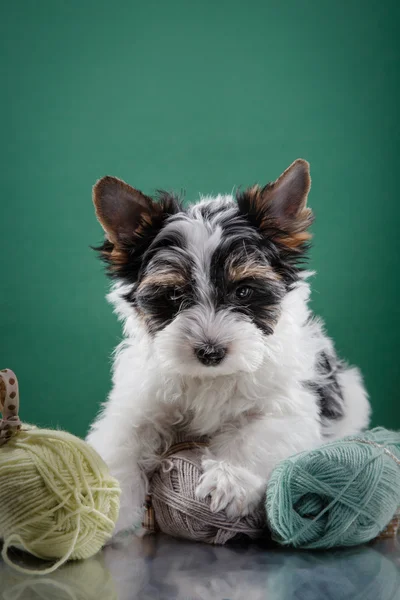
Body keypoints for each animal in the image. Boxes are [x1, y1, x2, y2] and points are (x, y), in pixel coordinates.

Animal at [86, 158, 370, 536]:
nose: (210, 352)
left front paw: (227, 480)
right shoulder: (140, 401)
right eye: (174, 295)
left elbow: (258, 433)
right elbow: (122, 438)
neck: (212, 378)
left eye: (244, 292)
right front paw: (105, 504)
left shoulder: (289, 403)